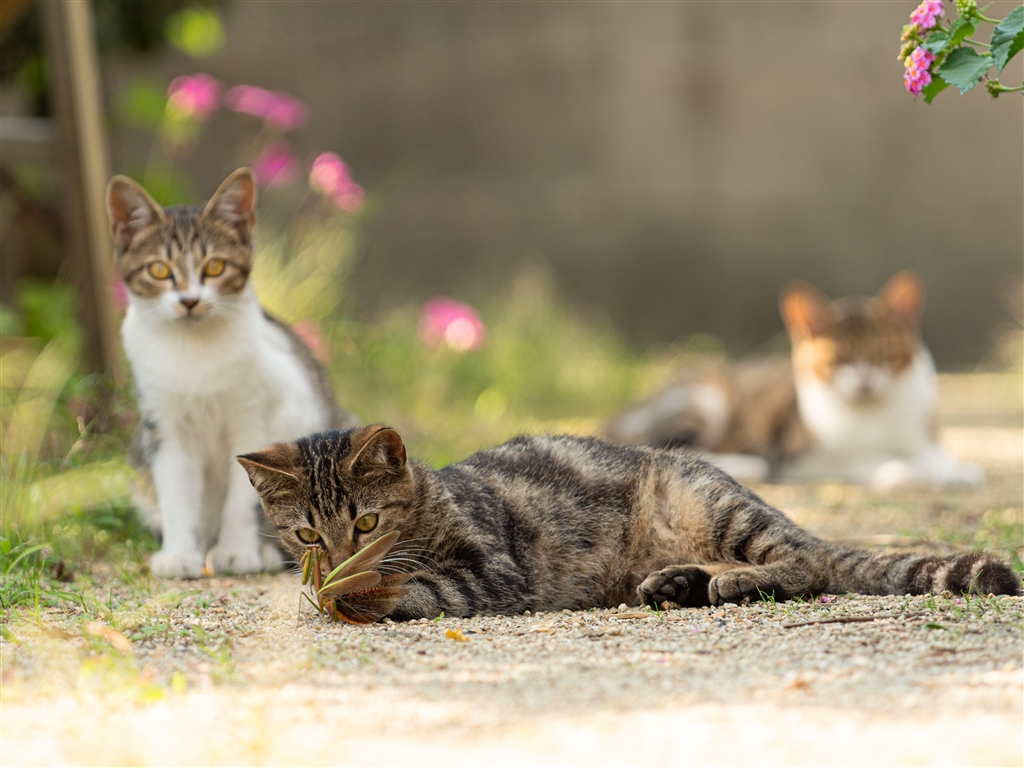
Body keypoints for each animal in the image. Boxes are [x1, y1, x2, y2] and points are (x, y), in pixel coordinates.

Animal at [106, 168, 357, 579]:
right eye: (159, 270)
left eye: (215, 267)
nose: (189, 300)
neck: (194, 350)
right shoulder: (165, 429)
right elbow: (176, 493)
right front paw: (179, 554)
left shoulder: (257, 420)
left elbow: (244, 498)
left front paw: (238, 551)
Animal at [606, 271, 984, 491]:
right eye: (838, 360)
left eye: (881, 353)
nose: (864, 382)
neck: (875, 412)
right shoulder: (801, 454)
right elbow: (867, 455)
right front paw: (903, 471)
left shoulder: (920, 434)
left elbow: (932, 455)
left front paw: (951, 470)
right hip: (705, 398)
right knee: (664, 449)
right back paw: (745, 466)